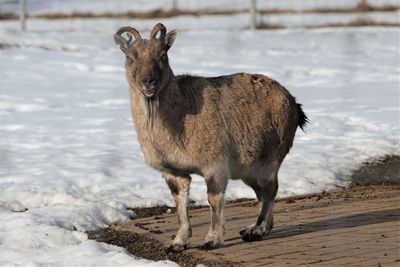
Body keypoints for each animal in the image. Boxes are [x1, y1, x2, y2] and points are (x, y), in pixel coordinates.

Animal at [114, 24, 308, 252]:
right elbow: (180, 202)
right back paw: (255, 229)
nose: (148, 82)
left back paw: (256, 231)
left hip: (269, 158)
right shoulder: (173, 171)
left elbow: (213, 199)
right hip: (248, 167)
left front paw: (212, 240)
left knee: (270, 190)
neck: (180, 117)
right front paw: (178, 242)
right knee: (261, 193)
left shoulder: (215, 165)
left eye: (163, 56)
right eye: (129, 57)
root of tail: (294, 104)